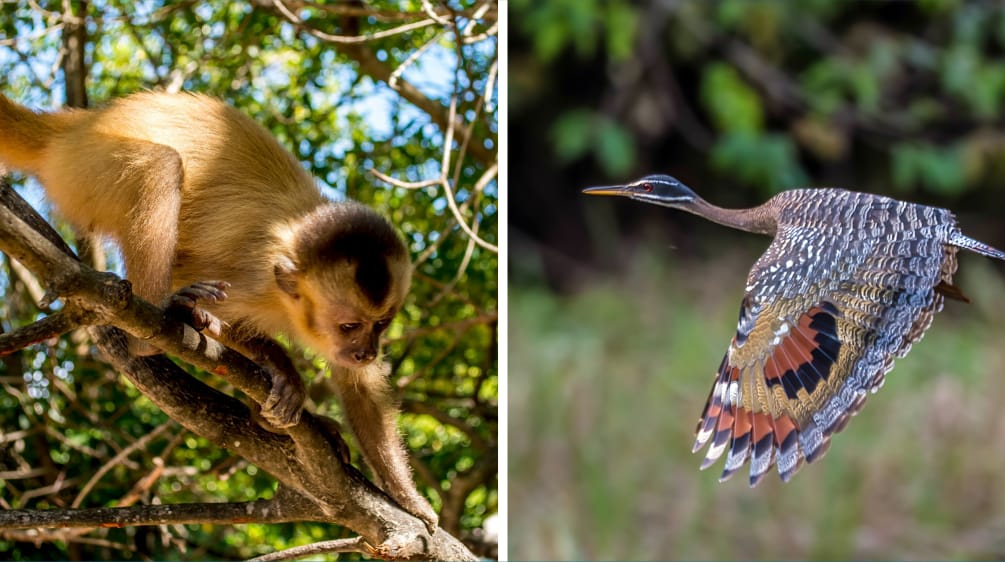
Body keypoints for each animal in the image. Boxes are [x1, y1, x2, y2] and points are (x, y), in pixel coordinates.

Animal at [0, 92, 440, 530]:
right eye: (349, 325)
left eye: (380, 325)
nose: (366, 350)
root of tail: (75, 127)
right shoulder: (254, 278)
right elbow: (215, 306)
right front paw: (282, 370)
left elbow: (359, 385)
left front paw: (409, 498)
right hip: (83, 168)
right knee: (161, 167)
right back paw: (164, 319)